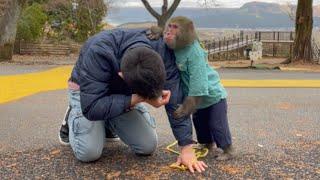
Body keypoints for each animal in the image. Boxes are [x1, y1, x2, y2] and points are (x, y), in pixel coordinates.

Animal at [164, 16, 234, 161]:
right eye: (170, 26)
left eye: (175, 27)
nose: (167, 32)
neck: (185, 46)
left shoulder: (195, 57)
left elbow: (197, 88)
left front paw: (182, 111)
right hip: (201, 110)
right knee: (201, 123)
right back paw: (206, 145)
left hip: (217, 103)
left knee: (217, 124)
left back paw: (227, 152)